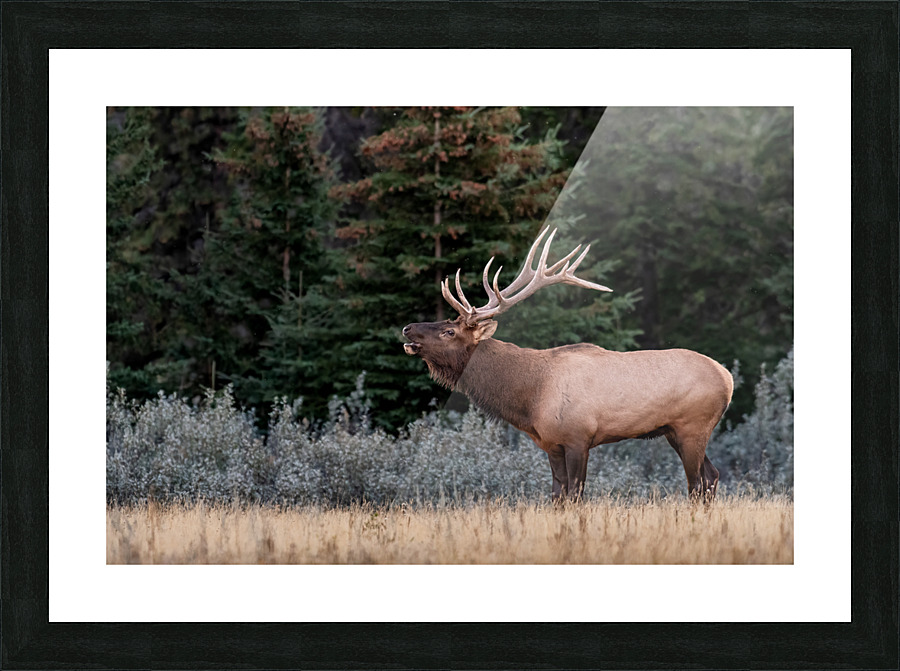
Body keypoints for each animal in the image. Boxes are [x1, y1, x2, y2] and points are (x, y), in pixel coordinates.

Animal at [402, 227, 733, 502]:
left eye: (449, 331)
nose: (407, 329)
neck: (529, 397)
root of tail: (727, 377)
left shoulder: (578, 437)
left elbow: (574, 494)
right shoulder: (551, 443)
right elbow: (557, 495)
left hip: (694, 426)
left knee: (697, 483)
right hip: (674, 432)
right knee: (712, 476)